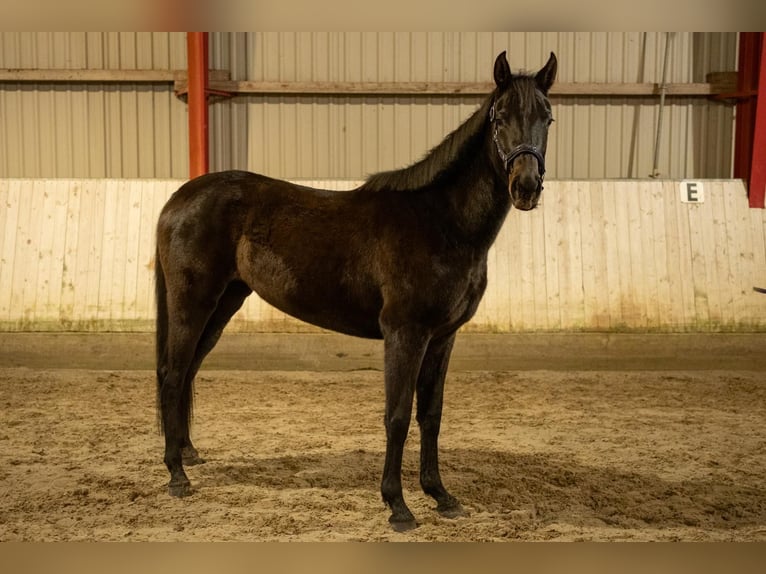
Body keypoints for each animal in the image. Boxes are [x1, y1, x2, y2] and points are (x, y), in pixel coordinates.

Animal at [154, 50, 560, 536]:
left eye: (547, 117)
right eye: (500, 117)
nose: (526, 187)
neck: (440, 222)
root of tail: (179, 198)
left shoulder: (442, 338)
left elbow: (431, 415)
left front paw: (441, 496)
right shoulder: (405, 334)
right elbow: (397, 415)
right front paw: (398, 506)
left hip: (223, 304)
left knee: (188, 372)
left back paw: (189, 454)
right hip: (192, 304)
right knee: (172, 374)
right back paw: (177, 475)